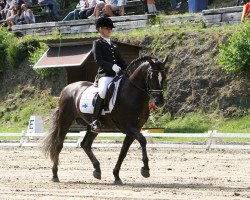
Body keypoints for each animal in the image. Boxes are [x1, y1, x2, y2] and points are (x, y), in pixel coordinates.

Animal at [42, 56, 167, 184]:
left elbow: (124, 151)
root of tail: (66, 88)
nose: (159, 102)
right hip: (65, 120)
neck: (132, 94)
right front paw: (145, 169)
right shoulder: (127, 126)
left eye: (164, 76)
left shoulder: (135, 128)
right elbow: (142, 140)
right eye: (152, 76)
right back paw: (55, 175)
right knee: (59, 145)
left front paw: (116, 176)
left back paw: (97, 170)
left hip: (92, 126)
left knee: (85, 144)